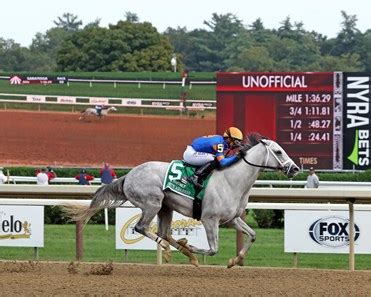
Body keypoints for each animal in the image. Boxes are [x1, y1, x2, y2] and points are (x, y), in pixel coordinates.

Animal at [64, 134, 300, 266]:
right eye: (278, 151)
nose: (295, 168)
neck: (233, 181)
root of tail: (127, 176)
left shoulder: (231, 219)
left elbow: (252, 235)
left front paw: (234, 261)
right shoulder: (209, 219)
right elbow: (213, 249)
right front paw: (194, 248)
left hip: (165, 207)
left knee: (165, 233)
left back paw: (182, 250)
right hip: (152, 203)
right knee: (143, 228)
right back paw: (173, 250)